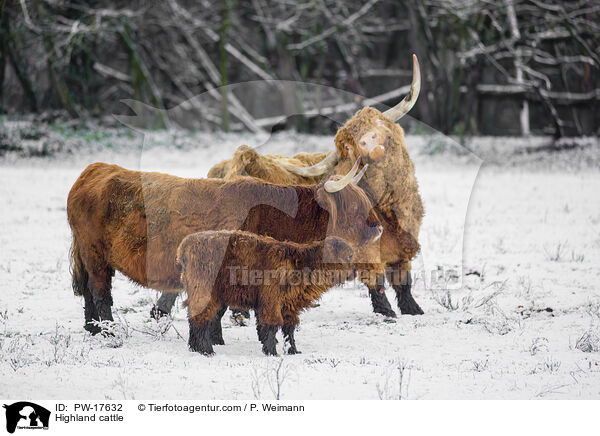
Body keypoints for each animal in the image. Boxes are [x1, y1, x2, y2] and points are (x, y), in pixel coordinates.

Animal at [68, 160, 382, 334]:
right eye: (354, 206)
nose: (378, 228)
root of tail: (94, 170)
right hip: (95, 255)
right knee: (99, 293)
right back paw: (108, 332)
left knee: (88, 294)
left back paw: (92, 329)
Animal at [176, 230, 354, 356]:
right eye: (348, 256)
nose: (354, 272)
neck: (300, 265)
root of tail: (185, 245)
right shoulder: (271, 301)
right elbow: (271, 325)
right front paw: (272, 352)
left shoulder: (289, 304)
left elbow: (289, 329)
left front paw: (293, 350)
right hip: (204, 292)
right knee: (201, 318)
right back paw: (207, 350)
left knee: (195, 318)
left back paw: (195, 347)